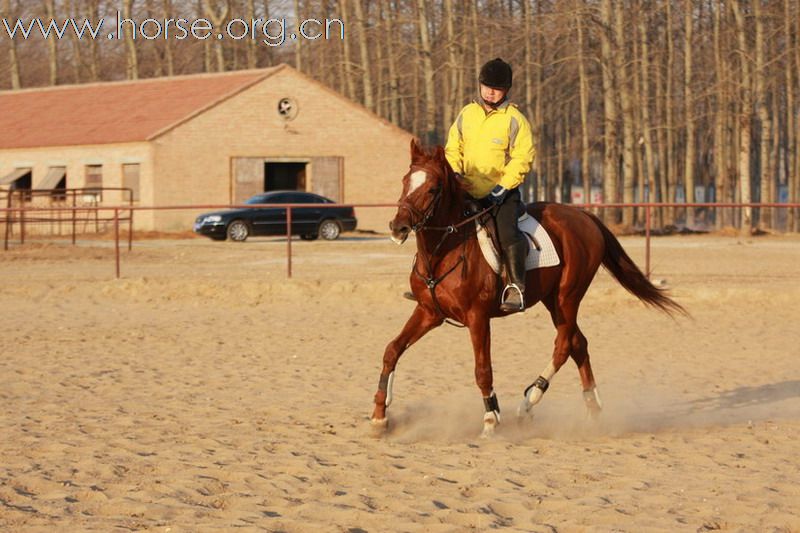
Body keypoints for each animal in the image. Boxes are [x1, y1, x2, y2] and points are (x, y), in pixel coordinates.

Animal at [372, 138, 684, 436]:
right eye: (405, 181)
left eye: (433, 189)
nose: (398, 227)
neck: (446, 249)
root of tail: (585, 216)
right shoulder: (429, 312)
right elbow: (391, 350)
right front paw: (379, 415)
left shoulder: (477, 317)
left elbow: (483, 370)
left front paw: (491, 419)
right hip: (552, 301)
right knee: (578, 344)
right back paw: (592, 407)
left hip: (568, 296)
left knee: (563, 345)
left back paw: (529, 401)